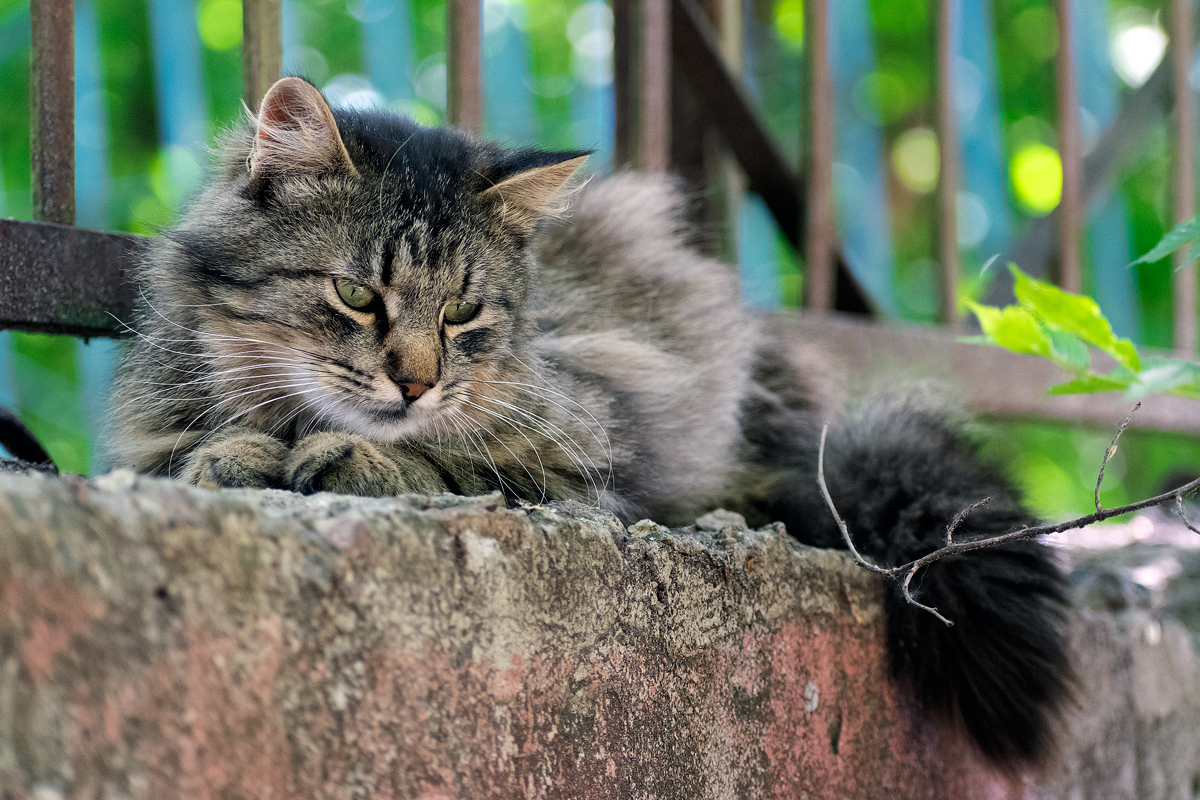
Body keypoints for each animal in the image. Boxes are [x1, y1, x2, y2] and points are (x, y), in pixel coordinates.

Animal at [110, 77, 1070, 772]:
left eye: (461, 312)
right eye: (355, 294)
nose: (416, 383)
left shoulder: (580, 470)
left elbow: (449, 466)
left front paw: (346, 456)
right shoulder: (154, 437)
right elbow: (200, 448)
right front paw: (238, 452)